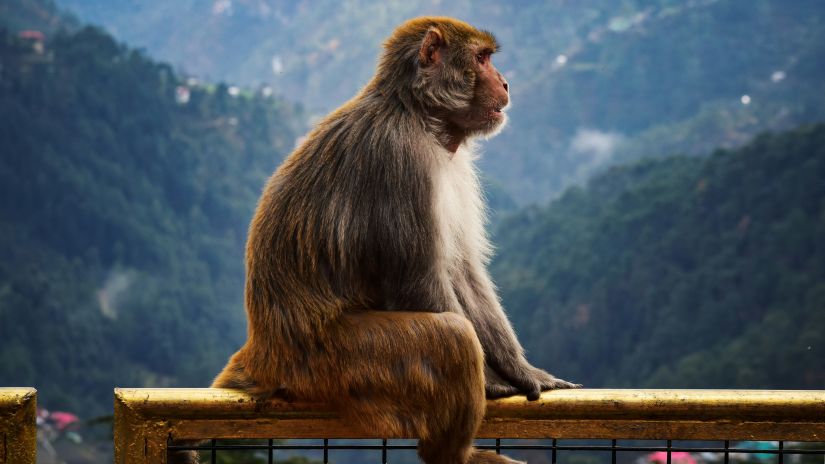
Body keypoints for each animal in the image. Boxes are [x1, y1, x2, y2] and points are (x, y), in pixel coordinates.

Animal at [171, 16, 576, 464]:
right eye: (482, 59)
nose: (505, 83)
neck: (420, 117)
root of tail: (265, 351)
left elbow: (463, 273)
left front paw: (522, 369)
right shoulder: (400, 160)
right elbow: (419, 281)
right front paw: (491, 378)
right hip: (339, 364)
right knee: (451, 336)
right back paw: (453, 454)